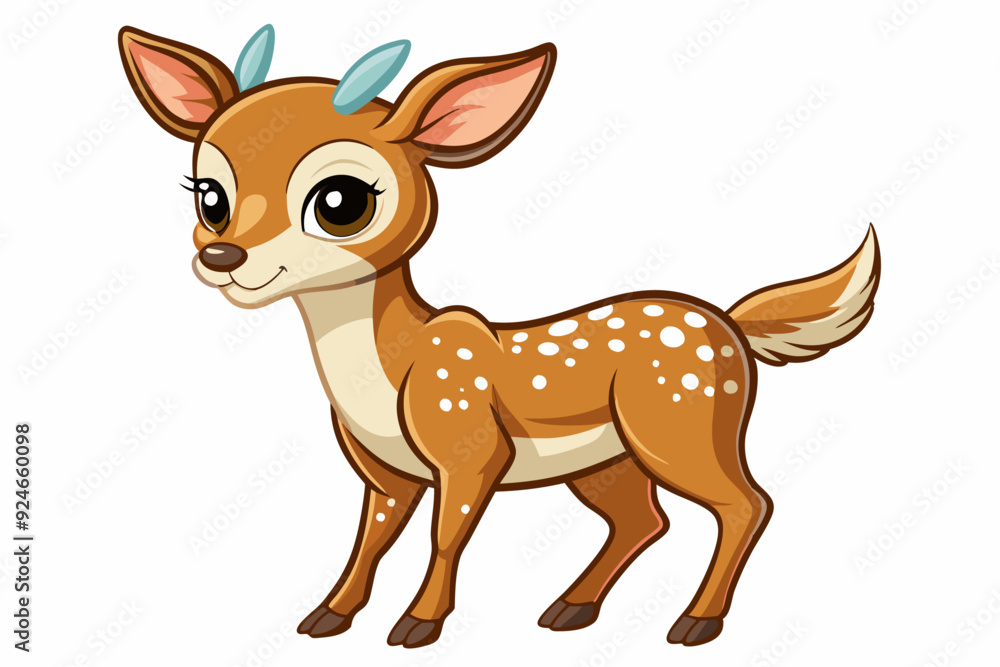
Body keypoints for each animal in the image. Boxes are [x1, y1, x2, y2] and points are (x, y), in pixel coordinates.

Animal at [118, 24, 880, 649]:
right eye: (208, 195)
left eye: (340, 201)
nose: (224, 255)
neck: (387, 371)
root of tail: (729, 324)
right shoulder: (386, 470)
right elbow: (370, 539)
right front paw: (327, 615)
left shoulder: (470, 445)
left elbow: (444, 536)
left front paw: (417, 625)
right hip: (606, 459)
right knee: (644, 519)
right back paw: (570, 609)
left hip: (681, 420)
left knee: (747, 503)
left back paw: (695, 623)